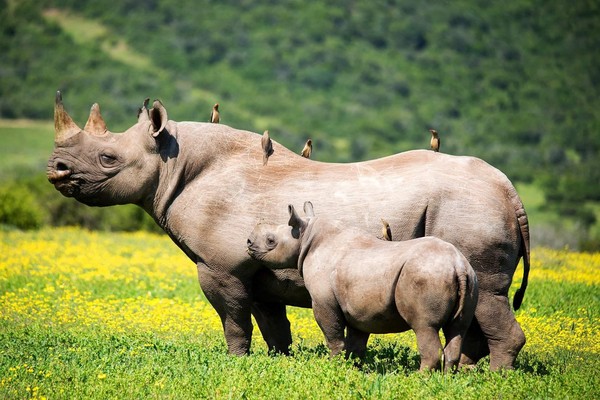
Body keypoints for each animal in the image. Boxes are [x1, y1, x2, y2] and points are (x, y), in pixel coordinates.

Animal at [247, 203, 478, 372]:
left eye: (270, 241)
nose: (248, 242)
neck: (305, 236)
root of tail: (457, 264)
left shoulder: (323, 301)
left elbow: (333, 336)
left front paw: (334, 368)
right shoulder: (358, 307)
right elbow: (356, 343)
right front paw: (353, 370)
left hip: (425, 275)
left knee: (424, 326)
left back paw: (419, 379)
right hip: (469, 276)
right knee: (458, 329)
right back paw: (446, 379)